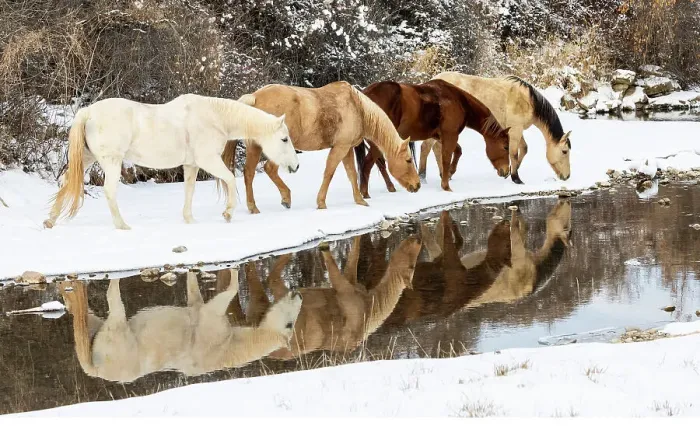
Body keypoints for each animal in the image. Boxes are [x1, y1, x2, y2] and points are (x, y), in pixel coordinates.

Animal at [43, 94, 300, 230]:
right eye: (284, 139)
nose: (296, 166)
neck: (215, 117)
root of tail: (88, 112)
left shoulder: (192, 165)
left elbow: (189, 190)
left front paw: (189, 219)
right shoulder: (208, 160)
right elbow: (229, 180)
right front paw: (227, 213)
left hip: (87, 158)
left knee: (66, 181)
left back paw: (50, 220)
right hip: (112, 162)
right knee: (109, 191)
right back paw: (122, 225)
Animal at [58, 274, 302, 383]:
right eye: (291, 323)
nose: (298, 293)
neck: (227, 348)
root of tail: (98, 369)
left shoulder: (208, 317)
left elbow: (203, 296)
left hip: (113, 331)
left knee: (100, 309)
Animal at [220, 81, 421, 213]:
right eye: (408, 160)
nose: (417, 185)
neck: (357, 108)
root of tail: (254, 98)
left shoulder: (346, 149)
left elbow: (351, 173)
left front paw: (359, 200)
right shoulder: (339, 148)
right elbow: (329, 172)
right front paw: (321, 202)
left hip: (254, 148)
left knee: (249, 173)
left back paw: (253, 207)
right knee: (269, 169)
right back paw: (285, 198)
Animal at [353, 79, 511, 198]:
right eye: (505, 147)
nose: (506, 171)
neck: (458, 100)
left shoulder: (441, 136)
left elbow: (457, 152)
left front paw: (449, 173)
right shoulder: (450, 135)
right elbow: (446, 158)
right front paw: (446, 186)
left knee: (379, 163)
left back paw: (390, 188)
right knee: (367, 164)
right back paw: (365, 194)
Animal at [424, 72, 572, 184]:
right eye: (564, 151)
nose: (567, 176)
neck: (526, 101)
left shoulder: (516, 129)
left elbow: (523, 148)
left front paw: (512, 170)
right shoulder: (516, 129)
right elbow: (514, 152)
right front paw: (516, 178)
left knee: (436, 148)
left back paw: (443, 174)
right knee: (427, 147)